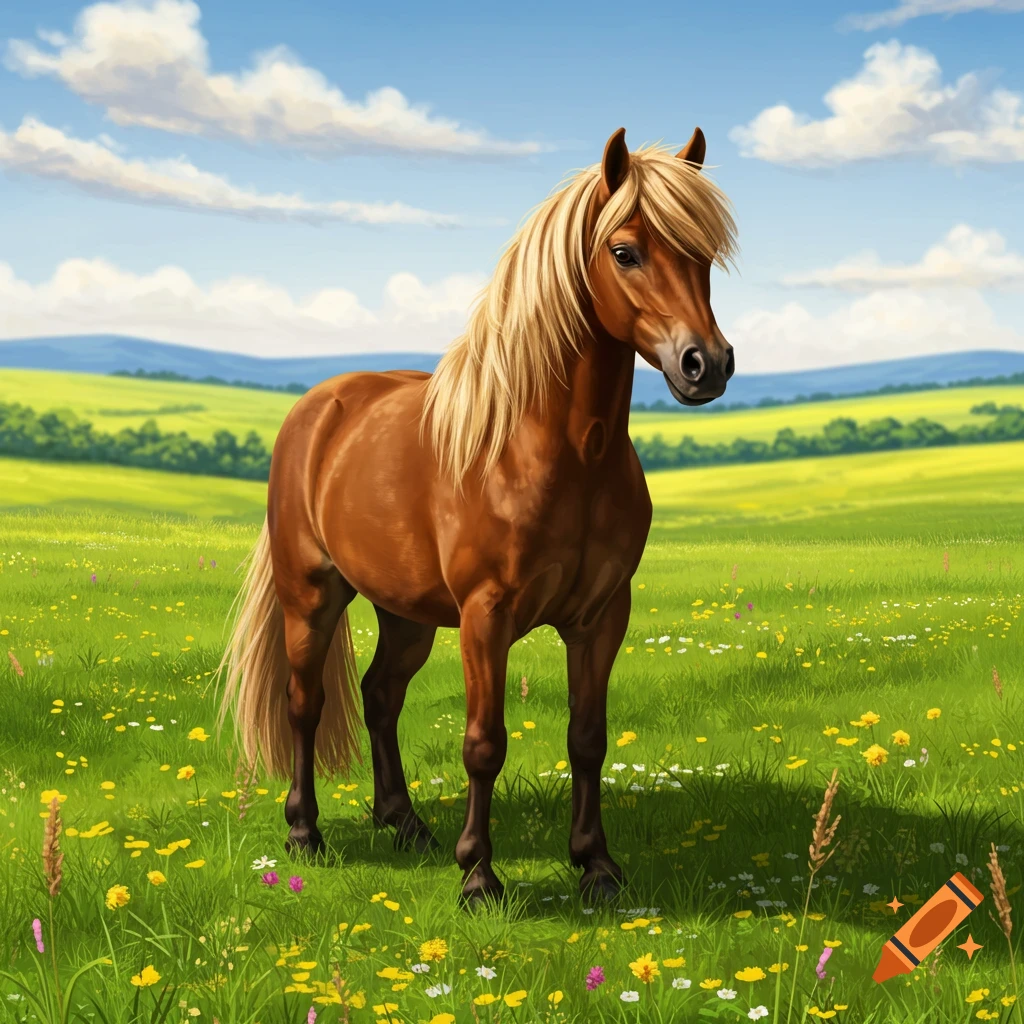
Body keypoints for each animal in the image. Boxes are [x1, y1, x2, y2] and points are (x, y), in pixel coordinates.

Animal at [217, 126, 738, 904]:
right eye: (625, 251)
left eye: (703, 254)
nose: (706, 364)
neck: (555, 452)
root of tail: (319, 406)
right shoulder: (486, 616)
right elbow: (484, 742)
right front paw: (479, 877)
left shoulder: (602, 616)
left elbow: (588, 736)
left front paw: (596, 866)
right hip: (311, 595)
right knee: (305, 703)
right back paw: (306, 833)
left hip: (405, 612)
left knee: (380, 695)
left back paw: (404, 824)